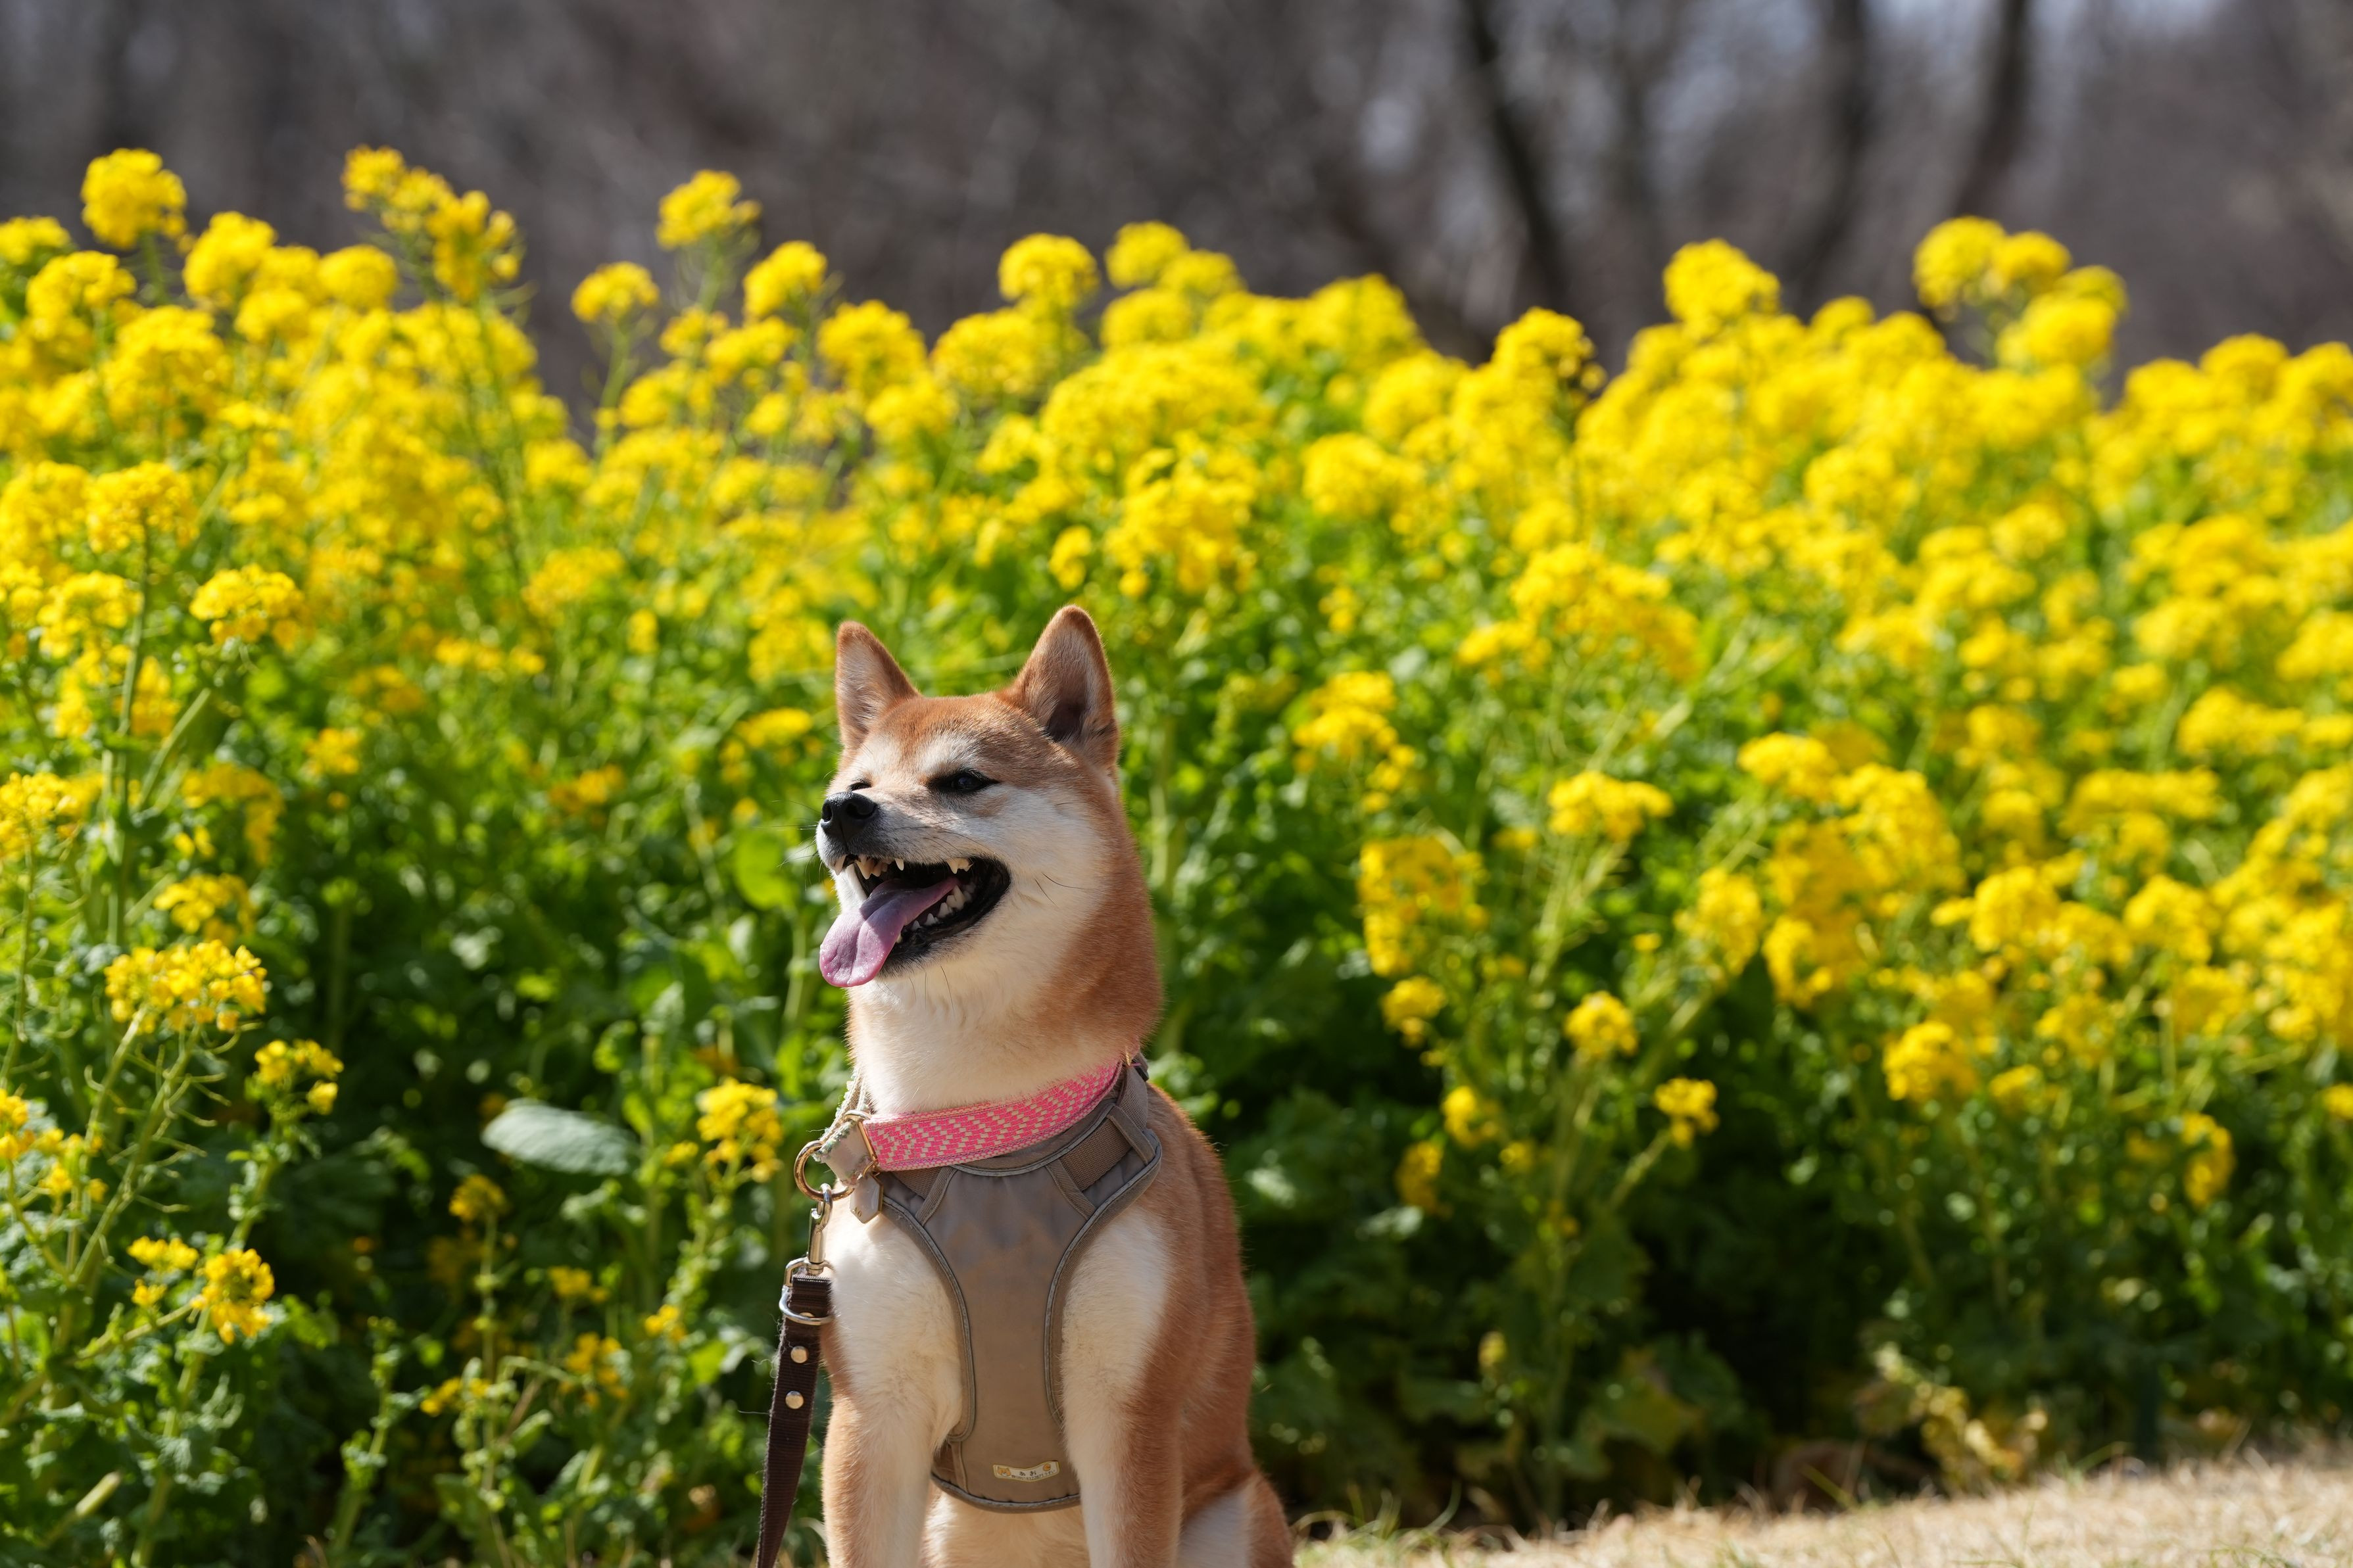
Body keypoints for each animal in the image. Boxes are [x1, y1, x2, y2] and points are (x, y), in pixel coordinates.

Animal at [808, 606, 1291, 1568]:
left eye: (961, 781)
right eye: (855, 782)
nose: (840, 813)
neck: (985, 1123)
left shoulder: (1128, 1419)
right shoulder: (870, 1417)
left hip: (1233, 1511)